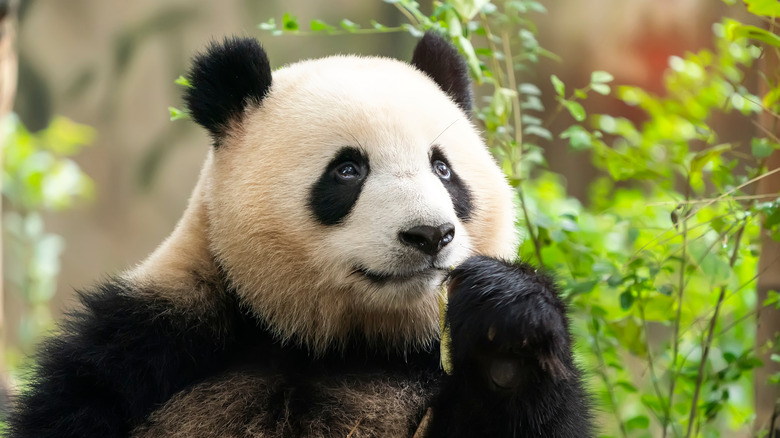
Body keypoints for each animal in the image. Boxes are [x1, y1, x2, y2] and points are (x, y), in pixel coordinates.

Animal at [6, 32, 592, 436]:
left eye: (443, 169)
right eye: (348, 170)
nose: (429, 235)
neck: (332, 342)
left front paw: (506, 334)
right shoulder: (147, 342)